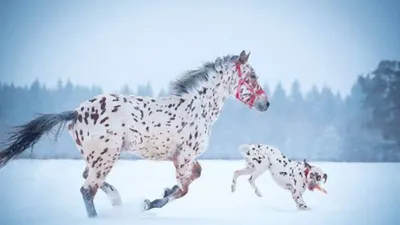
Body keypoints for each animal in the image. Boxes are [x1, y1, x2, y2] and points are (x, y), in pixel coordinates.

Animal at [0, 50, 270, 216]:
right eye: (252, 76)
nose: (266, 104)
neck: (198, 108)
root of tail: (75, 113)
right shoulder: (184, 156)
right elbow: (184, 188)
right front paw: (150, 202)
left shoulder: (184, 158)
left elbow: (194, 176)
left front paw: (159, 195)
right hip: (106, 155)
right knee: (87, 189)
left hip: (100, 157)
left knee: (88, 177)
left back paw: (117, 200)